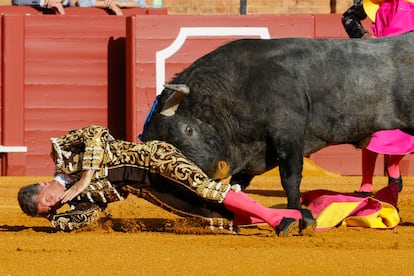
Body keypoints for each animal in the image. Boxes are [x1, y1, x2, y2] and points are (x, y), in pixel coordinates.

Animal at [142, 32, 414, 209]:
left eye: (188, 129)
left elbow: (290, 177)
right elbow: (239, 183)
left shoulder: (289, 132)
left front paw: (297, 215)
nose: (216, 170)